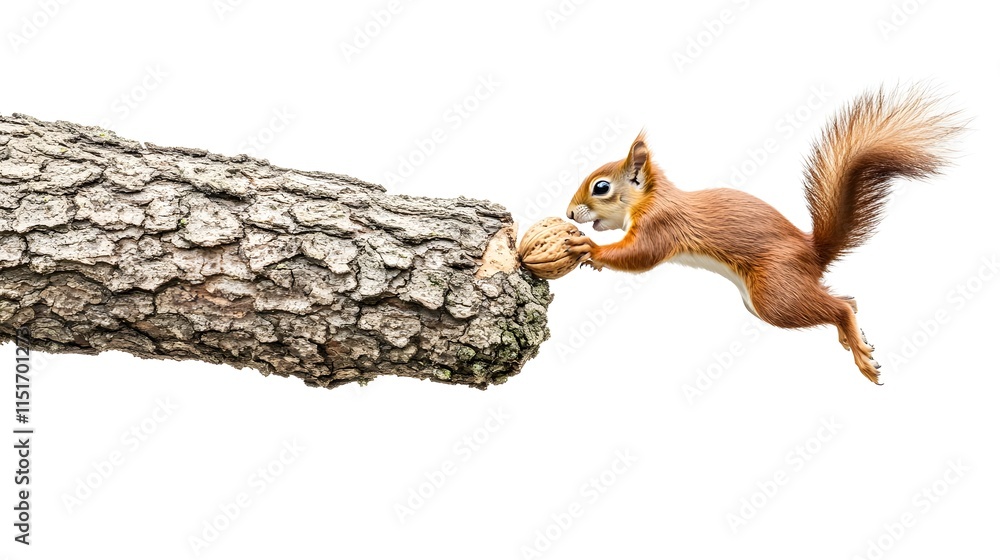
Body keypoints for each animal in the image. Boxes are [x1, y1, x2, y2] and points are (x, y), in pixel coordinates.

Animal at [564, 85, 963, 384]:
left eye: (601, 187)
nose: (568, 213)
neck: (650, 199)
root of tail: (813, 254)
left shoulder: (661, 224)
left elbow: (639, 255)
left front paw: (589, 247)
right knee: (847, 301)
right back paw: (852, 339)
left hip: (774, 294)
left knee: (837, 307)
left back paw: (858, 350)